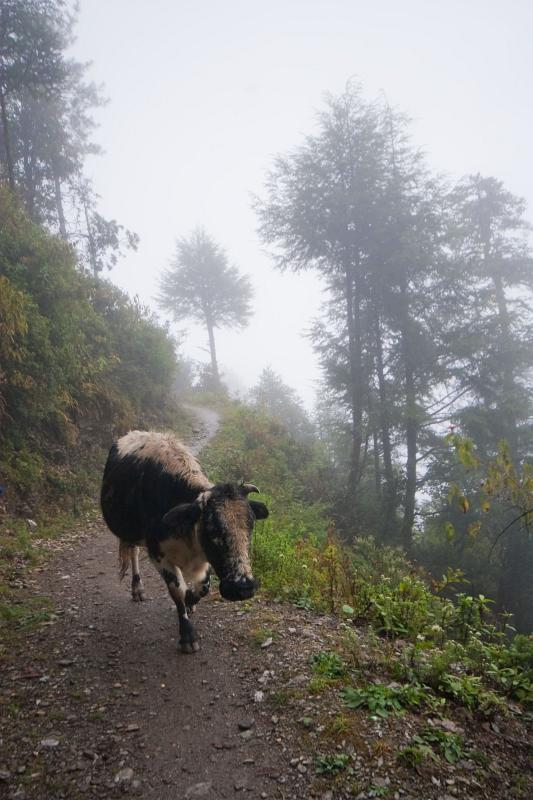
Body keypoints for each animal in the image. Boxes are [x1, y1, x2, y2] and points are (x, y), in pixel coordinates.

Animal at [100, 432, 268, 648]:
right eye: (212, 528)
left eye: (251, 526)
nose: (243, 588)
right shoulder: (158, 554)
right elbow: (177, 590)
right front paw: (187, 634)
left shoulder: (204, 557)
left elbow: (203, 587)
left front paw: (190, 601)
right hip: (129, 530)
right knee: (133, 552)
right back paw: (137, 589)